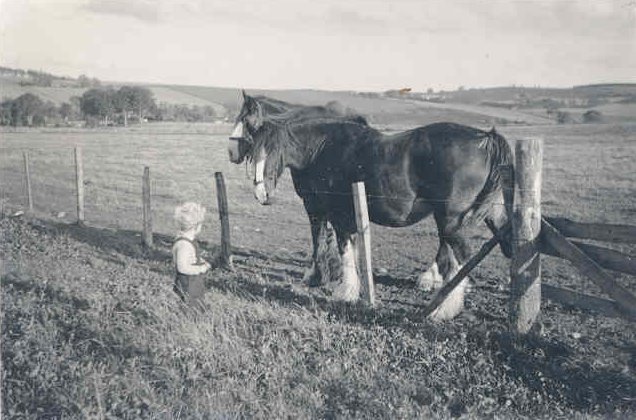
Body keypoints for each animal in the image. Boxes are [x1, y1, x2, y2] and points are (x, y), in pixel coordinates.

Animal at [226, 93, 516, 320]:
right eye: (255, 149)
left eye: (247, 123)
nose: (261, 192)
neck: (323, 147)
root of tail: (485, 138)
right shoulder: (345, 215)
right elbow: (349, 250)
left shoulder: (327, 212)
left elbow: (334, 245)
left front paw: (337, 288)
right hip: (487, 214)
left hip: (450, 219)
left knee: (461, 256)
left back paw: (443, 308)